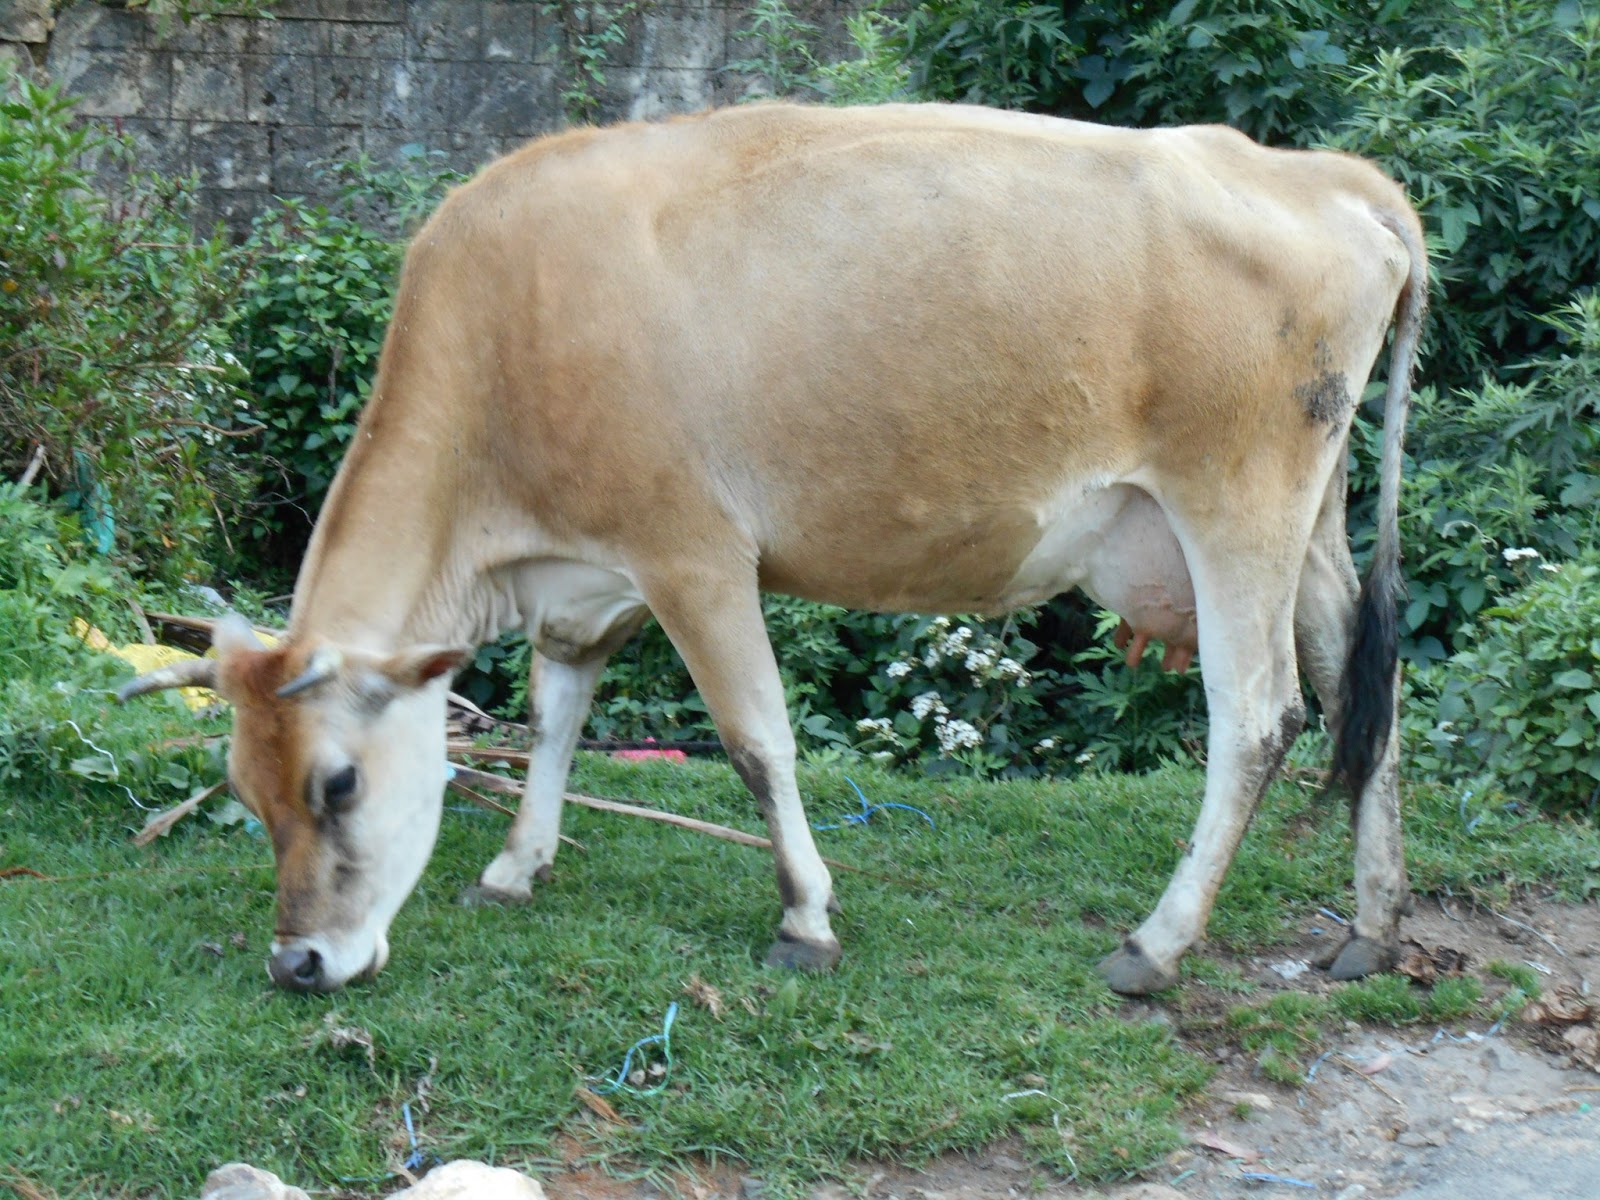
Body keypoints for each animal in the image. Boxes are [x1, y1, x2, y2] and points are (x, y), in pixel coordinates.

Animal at [119, 102, 1426, 996]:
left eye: (337, 783)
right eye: (244, 786)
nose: (298, 963)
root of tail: (1313, 170)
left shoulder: (692, 556)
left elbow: (755, 741)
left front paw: (804, 918)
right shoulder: (583, 578)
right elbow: (553, 715)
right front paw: (516, 865)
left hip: (1235, 506)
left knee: (1257, 716)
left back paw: (1156, 944)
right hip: (1312, 522)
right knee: (1366, 688)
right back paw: (1370, 924)